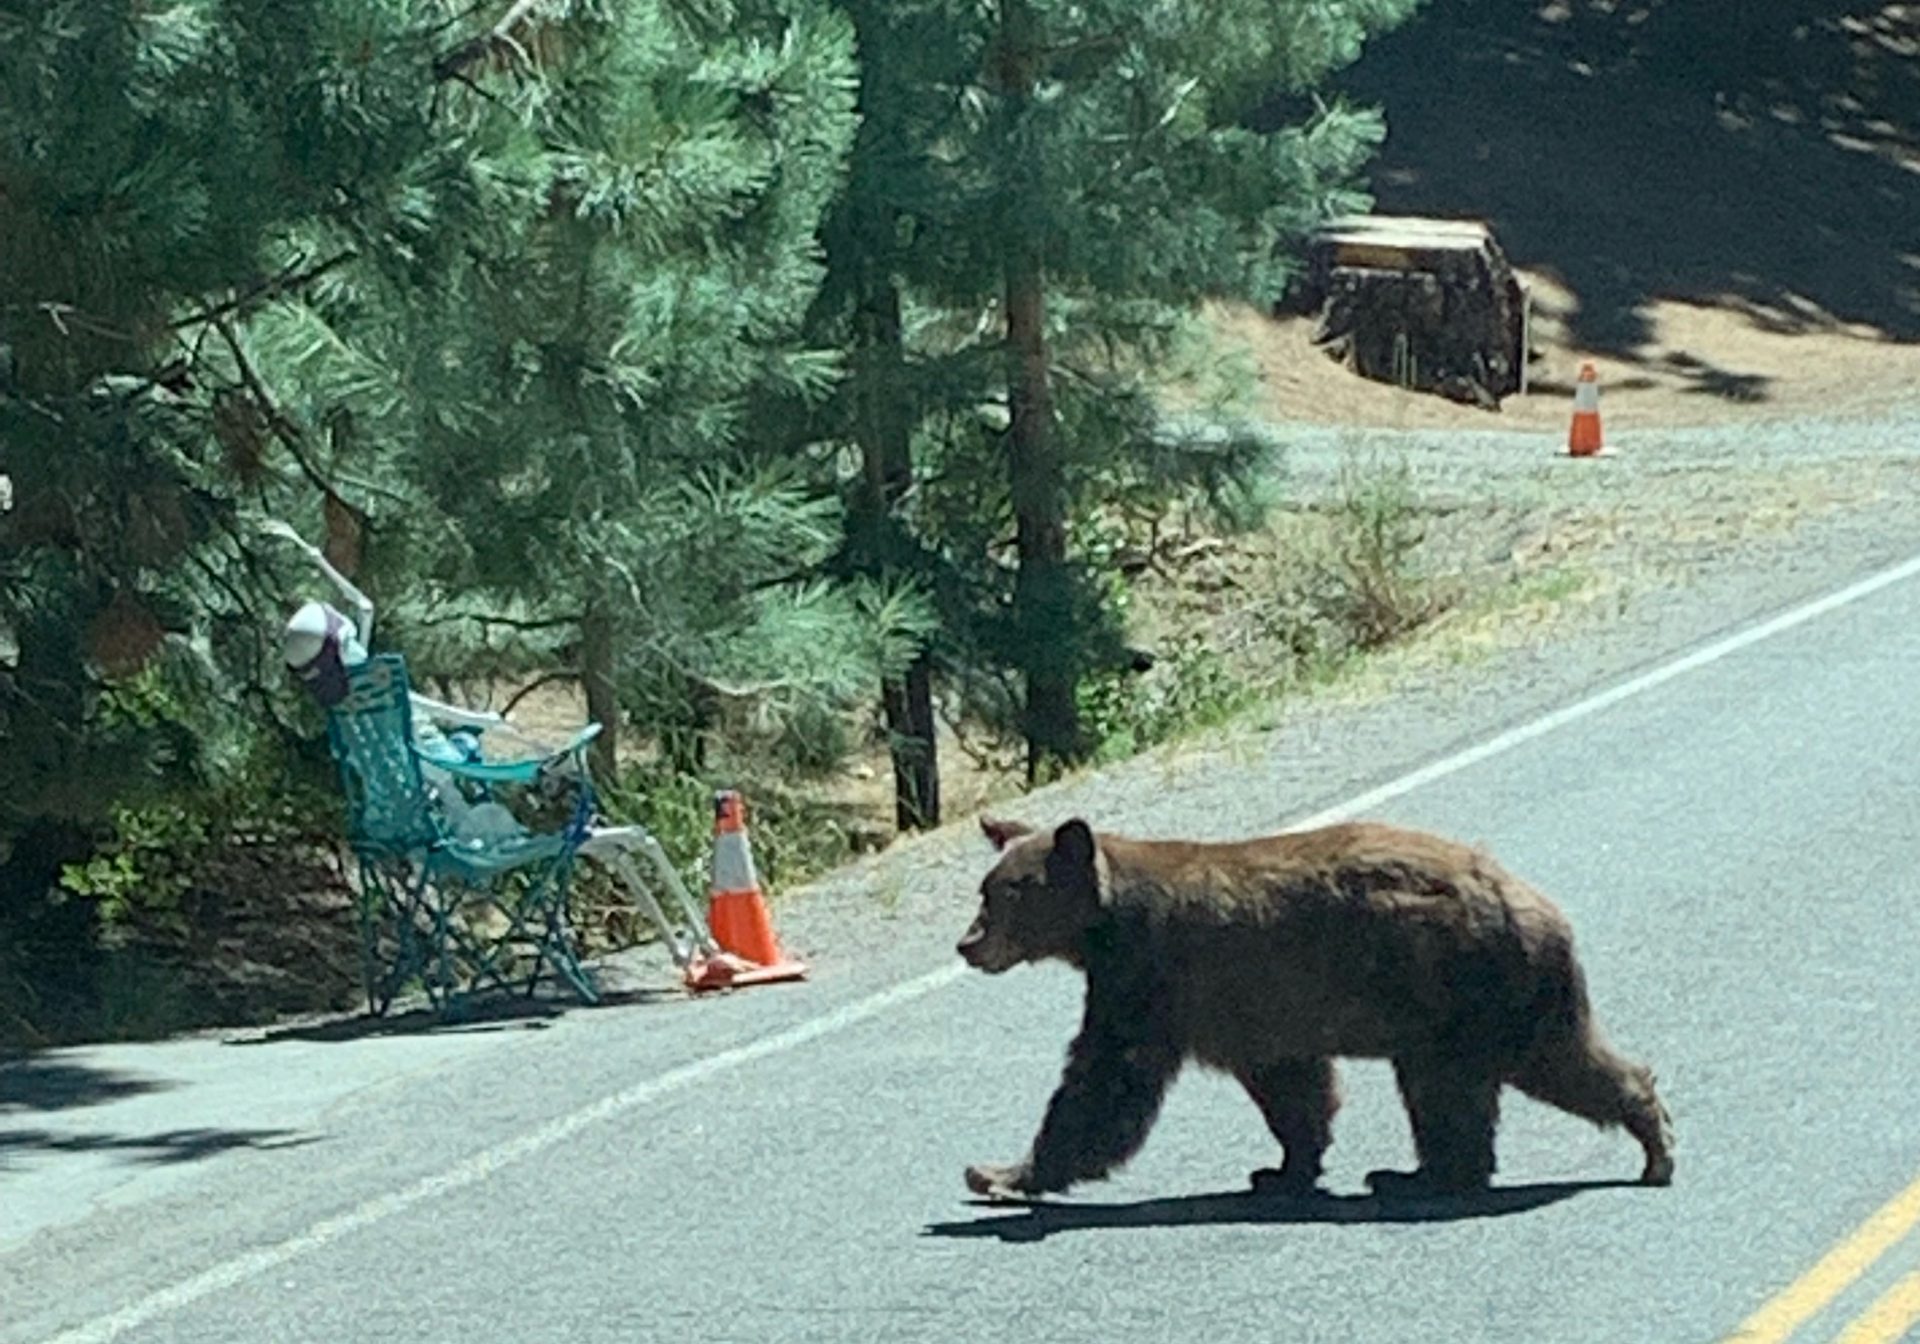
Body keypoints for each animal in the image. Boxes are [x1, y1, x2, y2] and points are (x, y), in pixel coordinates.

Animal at [955, 814, 1673, 1201]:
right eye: (983, 889)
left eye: (1003, 894)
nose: (966, 944)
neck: (1104, 923)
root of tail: (1537, 904)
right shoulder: (1256, 1007)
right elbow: (1291, 1085)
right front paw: (1283, 1168)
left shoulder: (1149, 977)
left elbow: (1104, 1082)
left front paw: (1000, 1172)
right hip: (1493, 995)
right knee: (1552, 1061)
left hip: (1463, 987)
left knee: (1471, 1084)